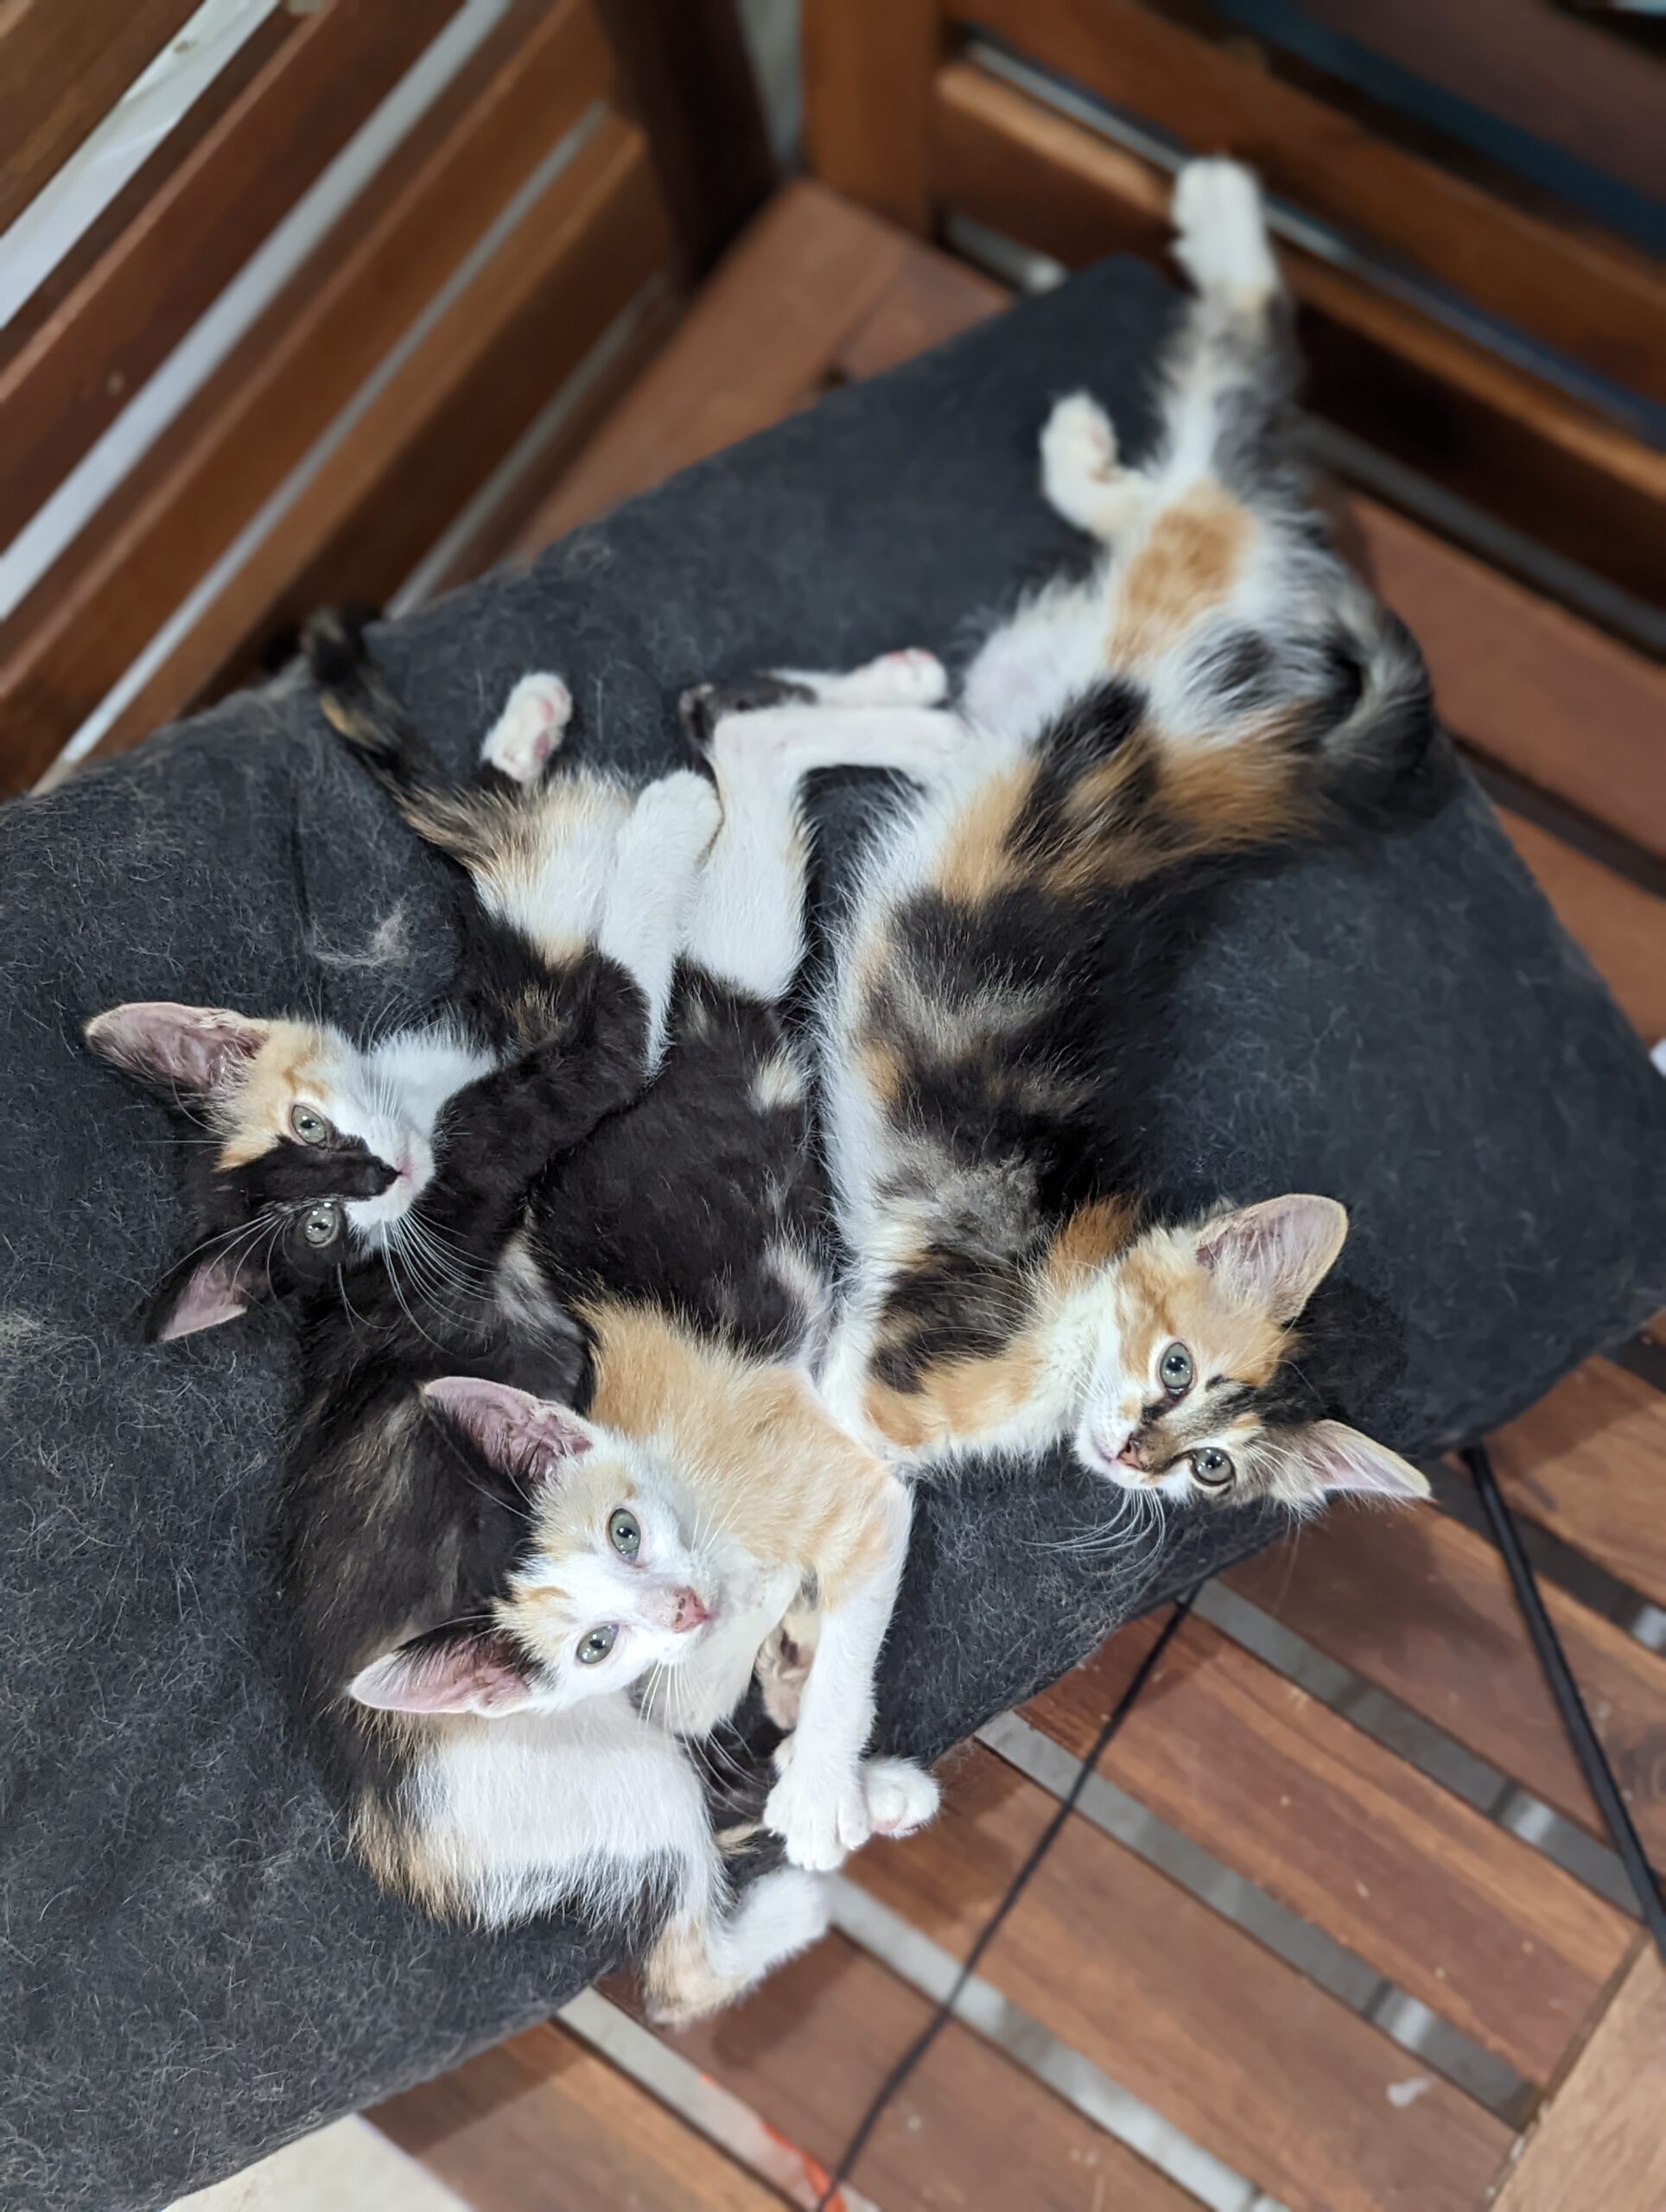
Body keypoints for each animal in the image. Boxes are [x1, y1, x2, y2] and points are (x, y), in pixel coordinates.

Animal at [694, 160, 1434, 1522]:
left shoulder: (877, 1384)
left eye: (1211, 1465)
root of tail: (1246, 755)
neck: (1077, 1304)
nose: (1132, 1451)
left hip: (1042, 679)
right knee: (1226, 432)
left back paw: (1052, 487)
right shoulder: (879, 1369)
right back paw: (1221, 215)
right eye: (1176, 1364)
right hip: (1179, 601)